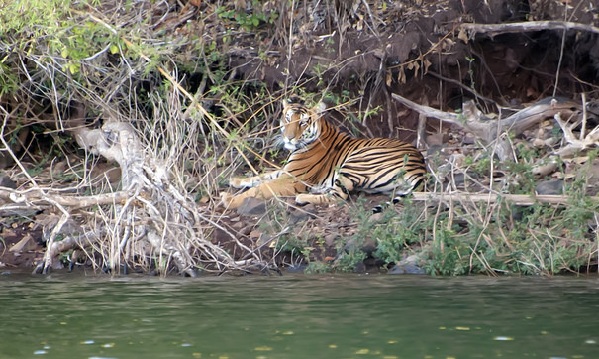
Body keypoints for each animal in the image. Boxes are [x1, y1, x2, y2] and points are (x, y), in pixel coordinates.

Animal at [220, 97, 426, 212]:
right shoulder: (286, 171)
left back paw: (303, 198)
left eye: (302, 123)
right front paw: (236, 180)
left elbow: (262, 187)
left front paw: (229, 200)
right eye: (287, 119)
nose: (289, 137)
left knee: (338, 197)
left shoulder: (292, 178)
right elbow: (262, 176)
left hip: (355, 162)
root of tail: (421, 168)